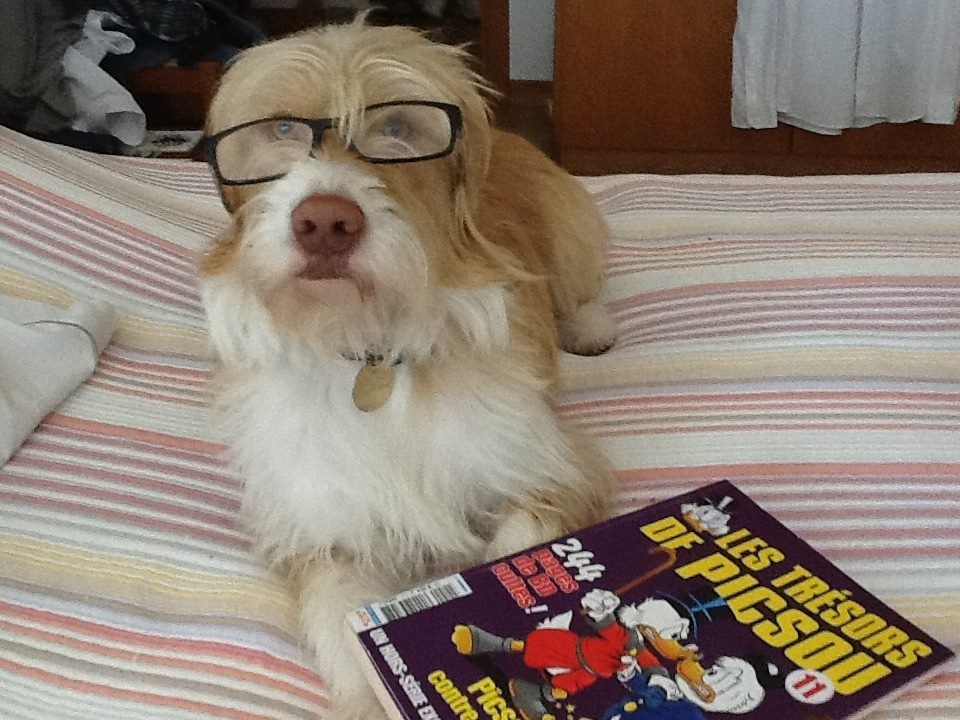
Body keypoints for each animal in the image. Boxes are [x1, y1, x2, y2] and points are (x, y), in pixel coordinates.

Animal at [199, 17, 617, 720]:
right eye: (280, 130)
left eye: (397, 127)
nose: (325, 221)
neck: (371, 345)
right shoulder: (325, 526)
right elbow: (343, 624)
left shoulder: (550, 471)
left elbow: (517, 553)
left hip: (573, 235)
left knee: (577, 286)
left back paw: (589, 326)